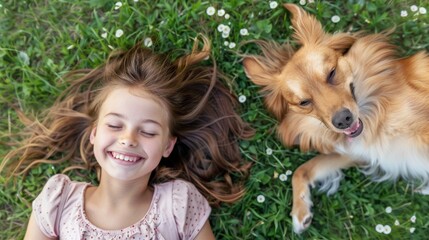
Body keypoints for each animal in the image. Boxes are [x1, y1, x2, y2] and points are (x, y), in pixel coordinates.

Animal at [242, 2, 428, 233]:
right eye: (304, 102)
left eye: (331, 73)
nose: (343, 120)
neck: (375, 114)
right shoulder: (360, 151)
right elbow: (301, 170)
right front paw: (300, 210)